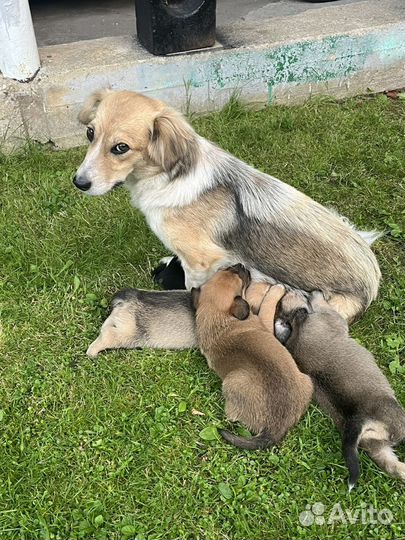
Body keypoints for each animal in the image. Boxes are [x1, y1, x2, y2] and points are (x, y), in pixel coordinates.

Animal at [74, 88, 380, 320]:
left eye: (121, 148)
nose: (78, 182)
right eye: (90, 133)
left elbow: (191, 287)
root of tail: (372, 278)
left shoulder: (201, 260)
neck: (166, 177)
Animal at [191, 264, 310, 448]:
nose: (241, 265)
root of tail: (274, 429)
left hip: (308, 380)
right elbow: (268, 306)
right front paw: (276, 289)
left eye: (227, 269)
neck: (218, 317)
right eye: (239, 278)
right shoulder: (266, 323)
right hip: (231, 382)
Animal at [282, 292, 404, 490]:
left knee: (394, 467)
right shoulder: (332, 318)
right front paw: (317, 297)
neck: (297, 328)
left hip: (377, 447)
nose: (312, 291)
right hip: (397, 423)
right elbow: (324, 307)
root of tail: (362, 420)